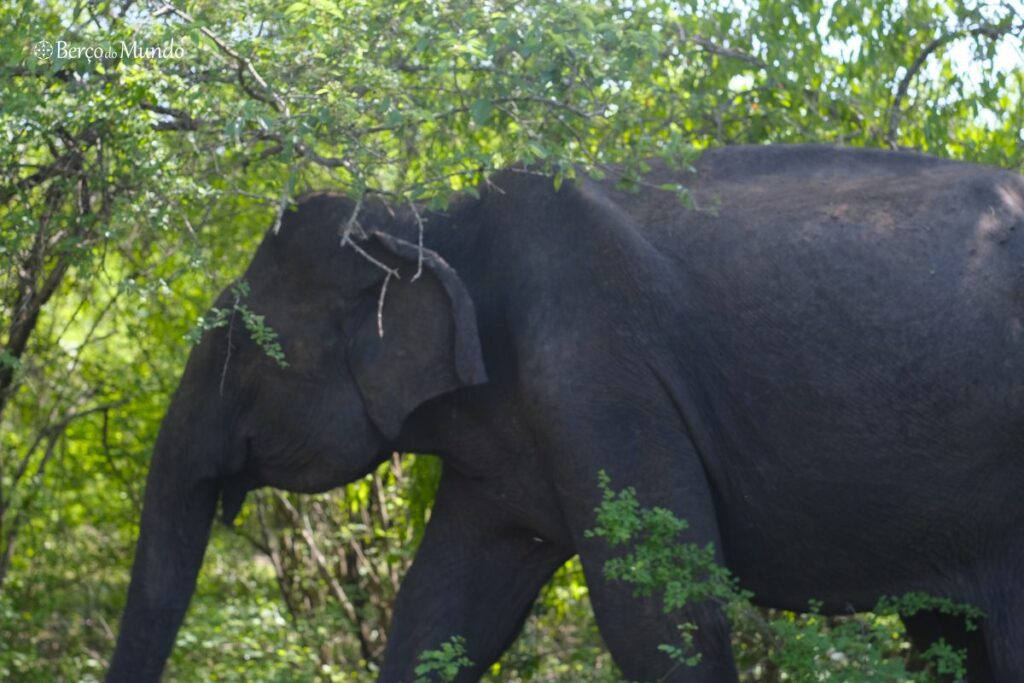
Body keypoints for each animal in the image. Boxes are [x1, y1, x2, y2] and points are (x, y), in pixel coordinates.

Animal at [105, 145, 1024, 683]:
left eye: (240, 346)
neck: (434, 218)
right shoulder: (503, 444)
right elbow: (442, 610)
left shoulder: (599, 370)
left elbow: (657, 605)